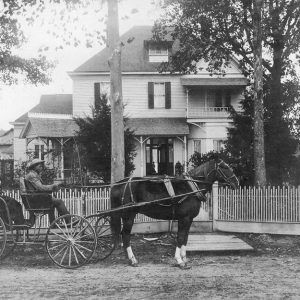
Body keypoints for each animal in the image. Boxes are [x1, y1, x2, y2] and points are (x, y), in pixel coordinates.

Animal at [110, 158, 239, 268]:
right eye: (224, 167)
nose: (236, 182)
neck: (191, 187)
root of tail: (118, 184)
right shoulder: (184, 218)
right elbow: (180, 237)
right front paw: (179, 260)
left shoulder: (189, 219)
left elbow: (185, 238)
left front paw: (184, 258)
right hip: (128, 216)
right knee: (125, 235)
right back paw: (132, 259)